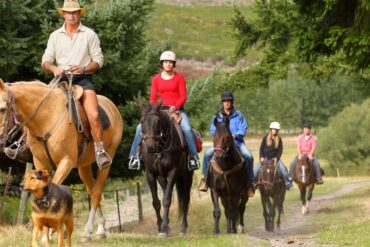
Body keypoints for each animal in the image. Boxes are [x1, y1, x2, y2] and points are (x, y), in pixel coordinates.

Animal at [0, 79, 123, 241]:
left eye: (2, 109)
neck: (45, 118)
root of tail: (112, 107)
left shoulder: (66, 162)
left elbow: (53, 190)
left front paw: (50, 233)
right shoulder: (40, 163)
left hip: (106, 162)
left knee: (96, 193)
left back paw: (87, 232)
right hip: (83, 166)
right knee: (91, 190)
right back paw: (101, 229)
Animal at [140, 103, 194, 237]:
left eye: (158, 121)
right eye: (142, 121)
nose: (150, 146)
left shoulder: (172, 173)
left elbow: (167, 200)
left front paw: (164, 228)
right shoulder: (151, 174)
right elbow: (156, 202)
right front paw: (161, 227)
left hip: (187, 176)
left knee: (186, 199)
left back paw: (183, 228)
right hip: (162, 178)